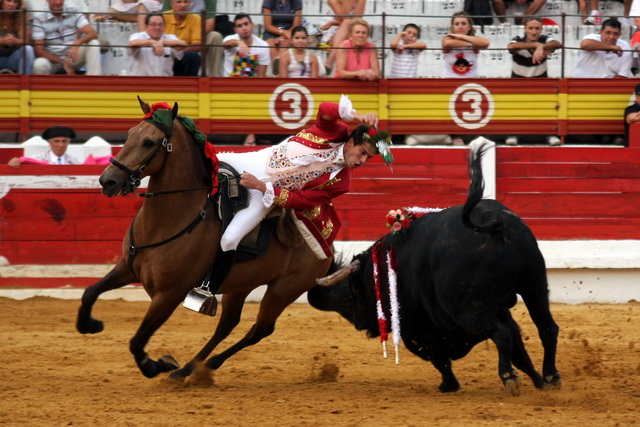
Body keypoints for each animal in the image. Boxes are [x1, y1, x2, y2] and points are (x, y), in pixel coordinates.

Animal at [77, 99, 332, 382]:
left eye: (149, 142)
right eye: (130, 134)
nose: (108, 181)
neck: (170, 219)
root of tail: (327, 241)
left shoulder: (169, 295)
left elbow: (137, 340)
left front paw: (157, 365)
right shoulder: (127, 267)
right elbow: (90, 292)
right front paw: (89, 324)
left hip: (282, 290)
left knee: (260, 329)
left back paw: (202, 366)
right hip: (240, 285)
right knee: (227, 325)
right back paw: (191, 368)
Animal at [308, 145, 564, 398]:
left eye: (353, 294)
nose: (361, 326)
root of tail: (494, 225)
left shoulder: (418, 328)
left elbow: (438, 357)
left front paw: (449, 385)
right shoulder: (501, 309)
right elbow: (519, 348)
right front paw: (538, 381)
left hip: (469, 310)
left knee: (501, 333)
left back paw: (509, 377)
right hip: (535, 287)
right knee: (547, 328)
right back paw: (551, 376)